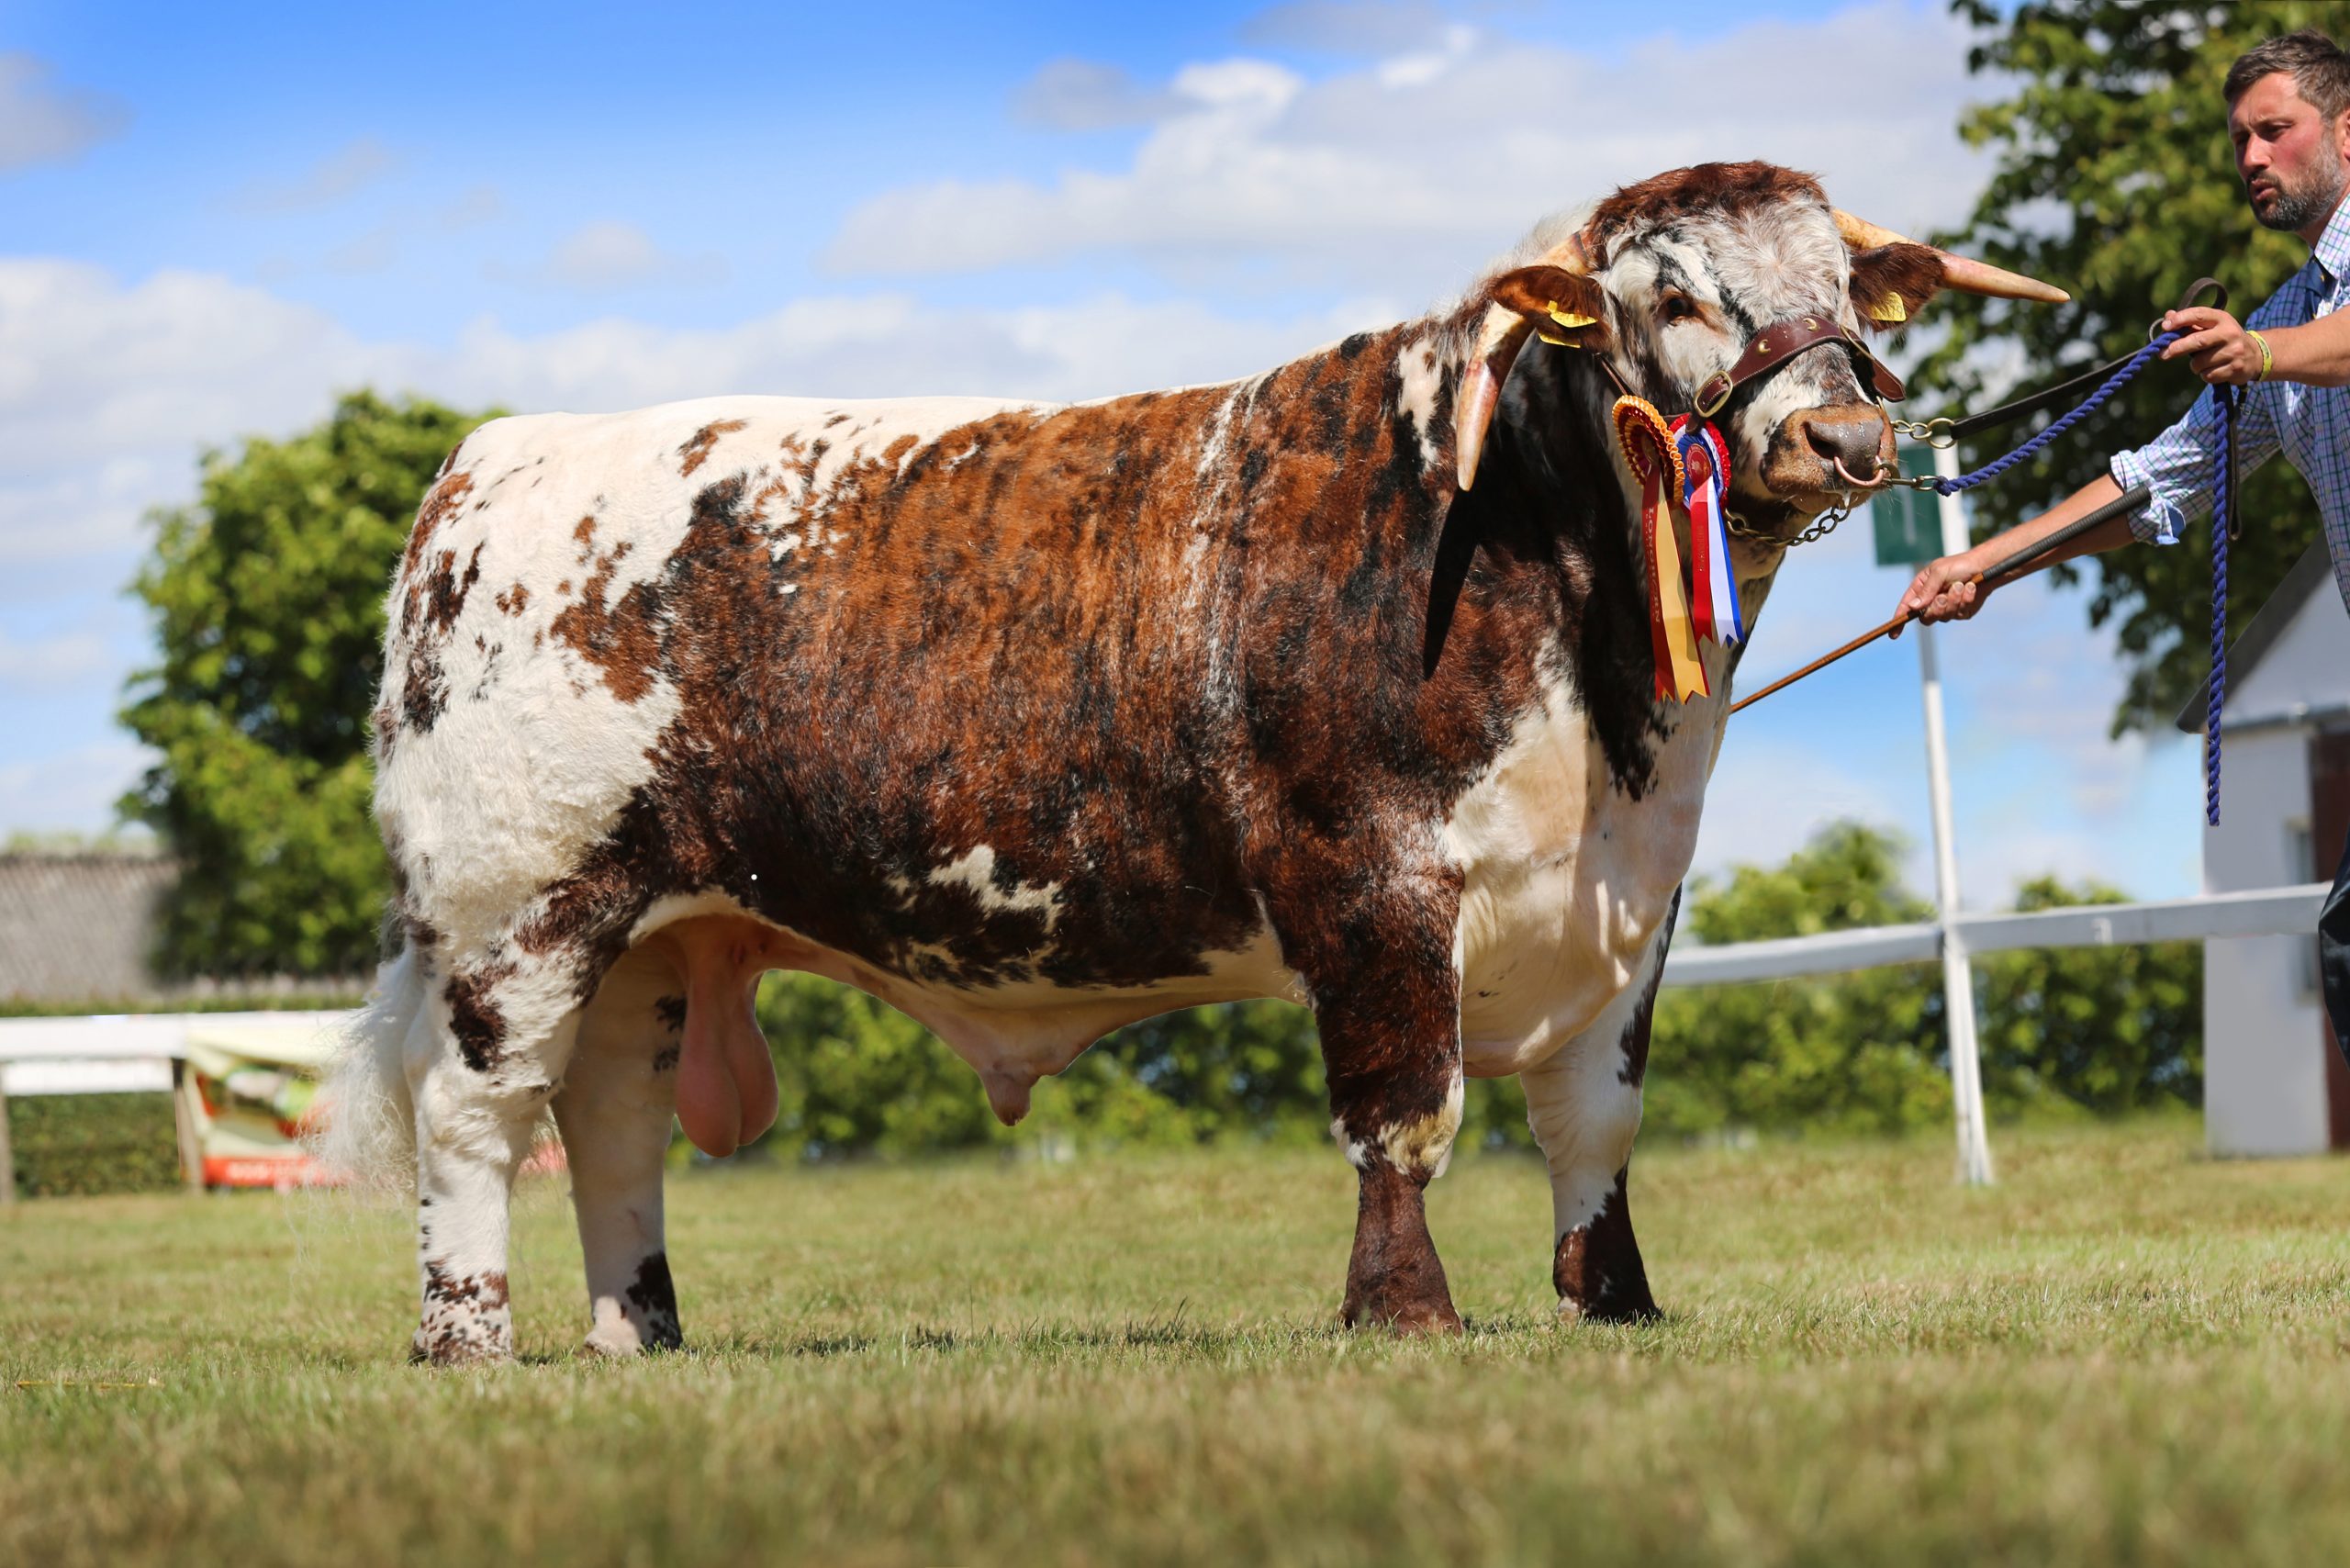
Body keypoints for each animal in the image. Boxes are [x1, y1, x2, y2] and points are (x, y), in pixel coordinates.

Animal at [326, 162, 2058, 1363]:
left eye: (1850, 290)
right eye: (1681, 293)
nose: (1845, 440)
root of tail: (494, 458)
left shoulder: (1632, 901)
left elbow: (1596, 1124)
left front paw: (1612, 1303)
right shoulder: (1370, 880)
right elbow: (1404, 1115)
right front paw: (1404, 1312)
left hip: (650, 933)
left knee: (611, 1126)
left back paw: (641, 1335)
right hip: (514, 914)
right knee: (476, 1117)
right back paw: (466, 1339)